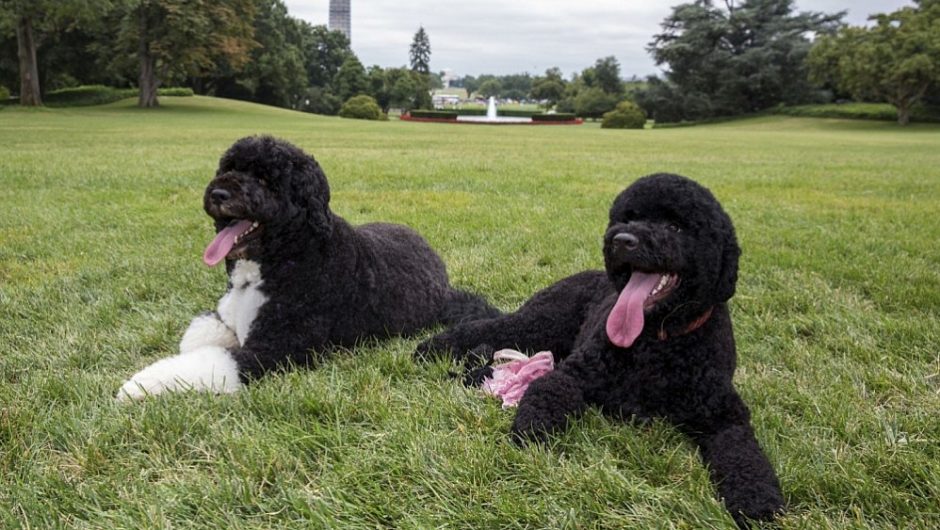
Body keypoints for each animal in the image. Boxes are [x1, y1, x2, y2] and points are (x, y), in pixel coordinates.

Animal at [117, 134, 496, 398]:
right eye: (229, 168)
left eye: (266, 180)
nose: (218, 194)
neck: (285, 257)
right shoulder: (226, 316)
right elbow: (200, 336)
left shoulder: (277, 347)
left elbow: (212, 360)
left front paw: (139, 385)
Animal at [418, 173, 784, 524]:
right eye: (629, 217)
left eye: (675, 226)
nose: (622, 240)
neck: (657, 340)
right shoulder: (576, 373)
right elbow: (548, 391)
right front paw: (532, 430)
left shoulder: (724, 414)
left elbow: (744, 453)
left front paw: (757, 499)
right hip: (540, 323)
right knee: (489, 328)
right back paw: (430, 348)